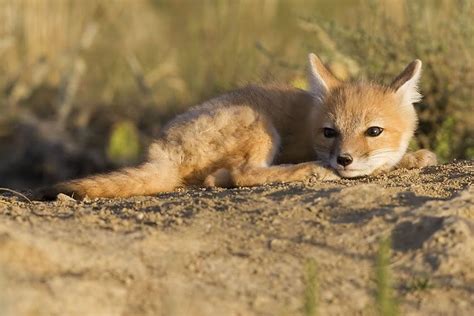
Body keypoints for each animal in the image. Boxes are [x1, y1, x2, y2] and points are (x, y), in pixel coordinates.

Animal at [38, 53, 436, 199]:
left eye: (373, 131)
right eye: (330, 132)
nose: (344, 160)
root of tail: (159, 151)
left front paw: (411, 158)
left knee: (219, 178)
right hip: (260, 127)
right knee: (241, 175)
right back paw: (312, 171)